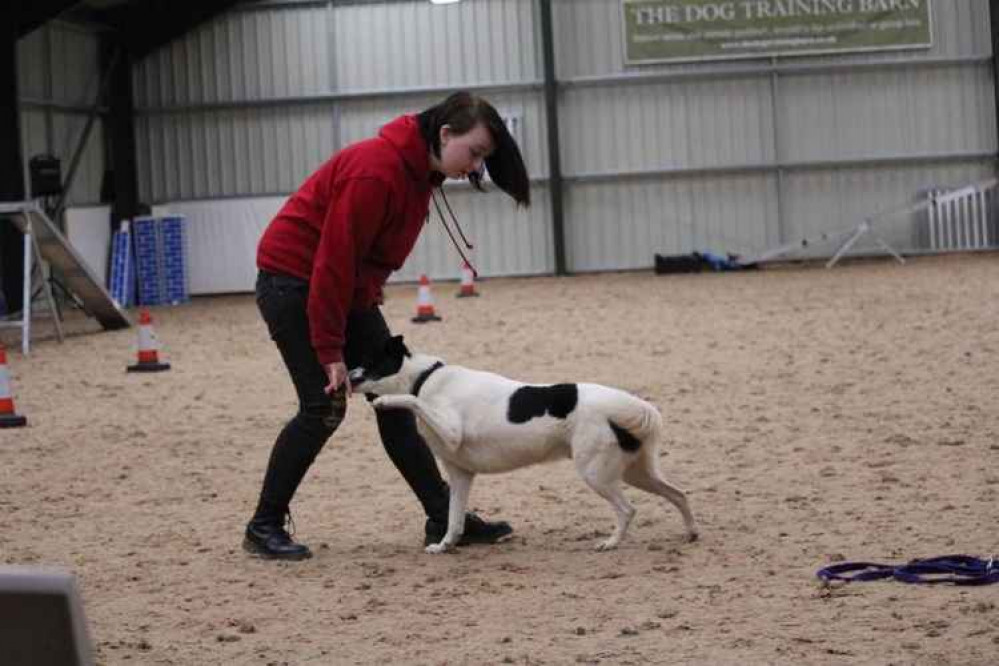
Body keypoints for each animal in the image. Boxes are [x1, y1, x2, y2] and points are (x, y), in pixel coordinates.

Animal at [348, 334, 700, 552]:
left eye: (371, 361)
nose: (348, 376)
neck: (425, 378)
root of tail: (625, 405)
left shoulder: (451, 430)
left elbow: (411, 399)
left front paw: (385, 401)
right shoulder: (460, 474)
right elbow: (454, 519)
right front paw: (445, 546)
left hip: (596, 474)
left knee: (628, 510)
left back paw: (611, 543)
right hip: (636, 473)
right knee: (678, 494)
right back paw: (691, 533)